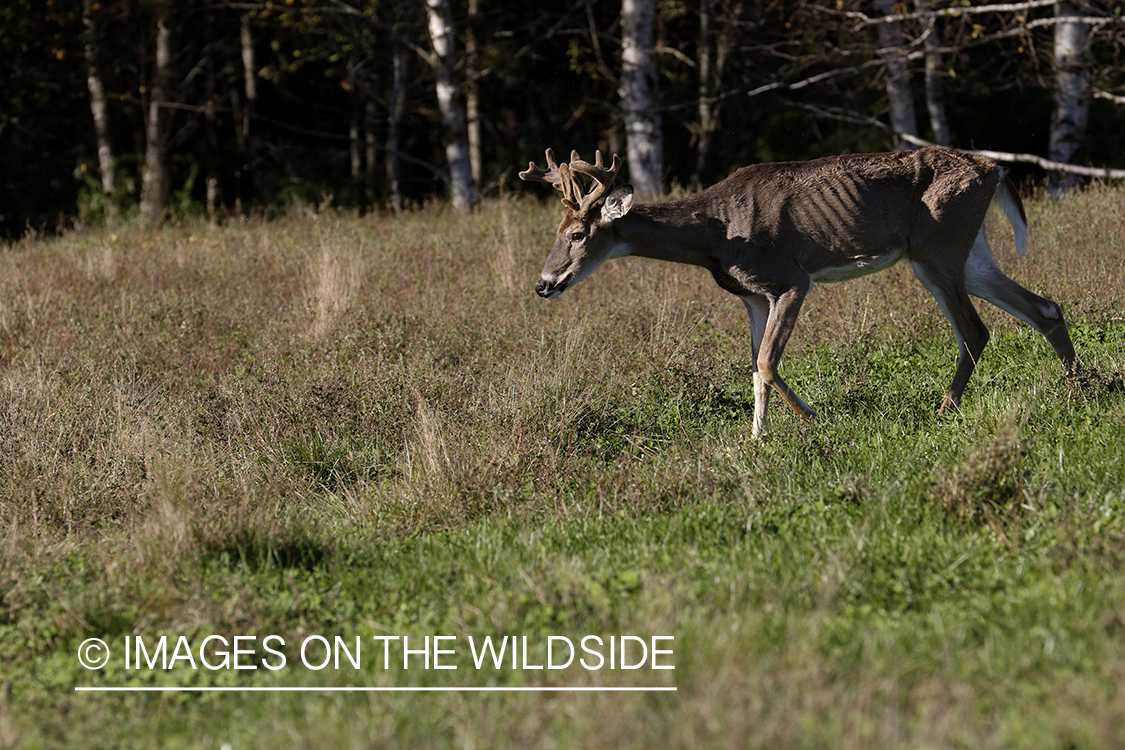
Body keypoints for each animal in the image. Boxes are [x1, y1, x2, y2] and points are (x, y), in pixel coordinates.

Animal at [522, 146, 1075, 436]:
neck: (715, 234)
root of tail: (993, 167)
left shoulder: (791, 279)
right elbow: (753, 369)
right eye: (554, 231)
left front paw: (813, 418)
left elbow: (767, 362)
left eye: (578, 234)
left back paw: (944, 411)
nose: (543, 285)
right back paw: (1079, 386)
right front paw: (755, 439)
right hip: (968, 252)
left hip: (936, 249)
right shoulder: (750, 296)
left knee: (975, 331)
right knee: (1044, 307)